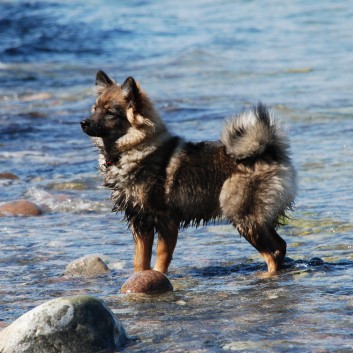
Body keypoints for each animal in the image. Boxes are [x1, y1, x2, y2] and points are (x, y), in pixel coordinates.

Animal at [81, 71, 296, 274]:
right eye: (95, 109)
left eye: (110, 113)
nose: (83, 122)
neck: (133, 149)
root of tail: (269, 152)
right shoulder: (140, 221)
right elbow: (140, 262)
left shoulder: (165, 221)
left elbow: (161, 257)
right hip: (258, 220)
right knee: (280, 246)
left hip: (243, 217)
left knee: (272, 254)